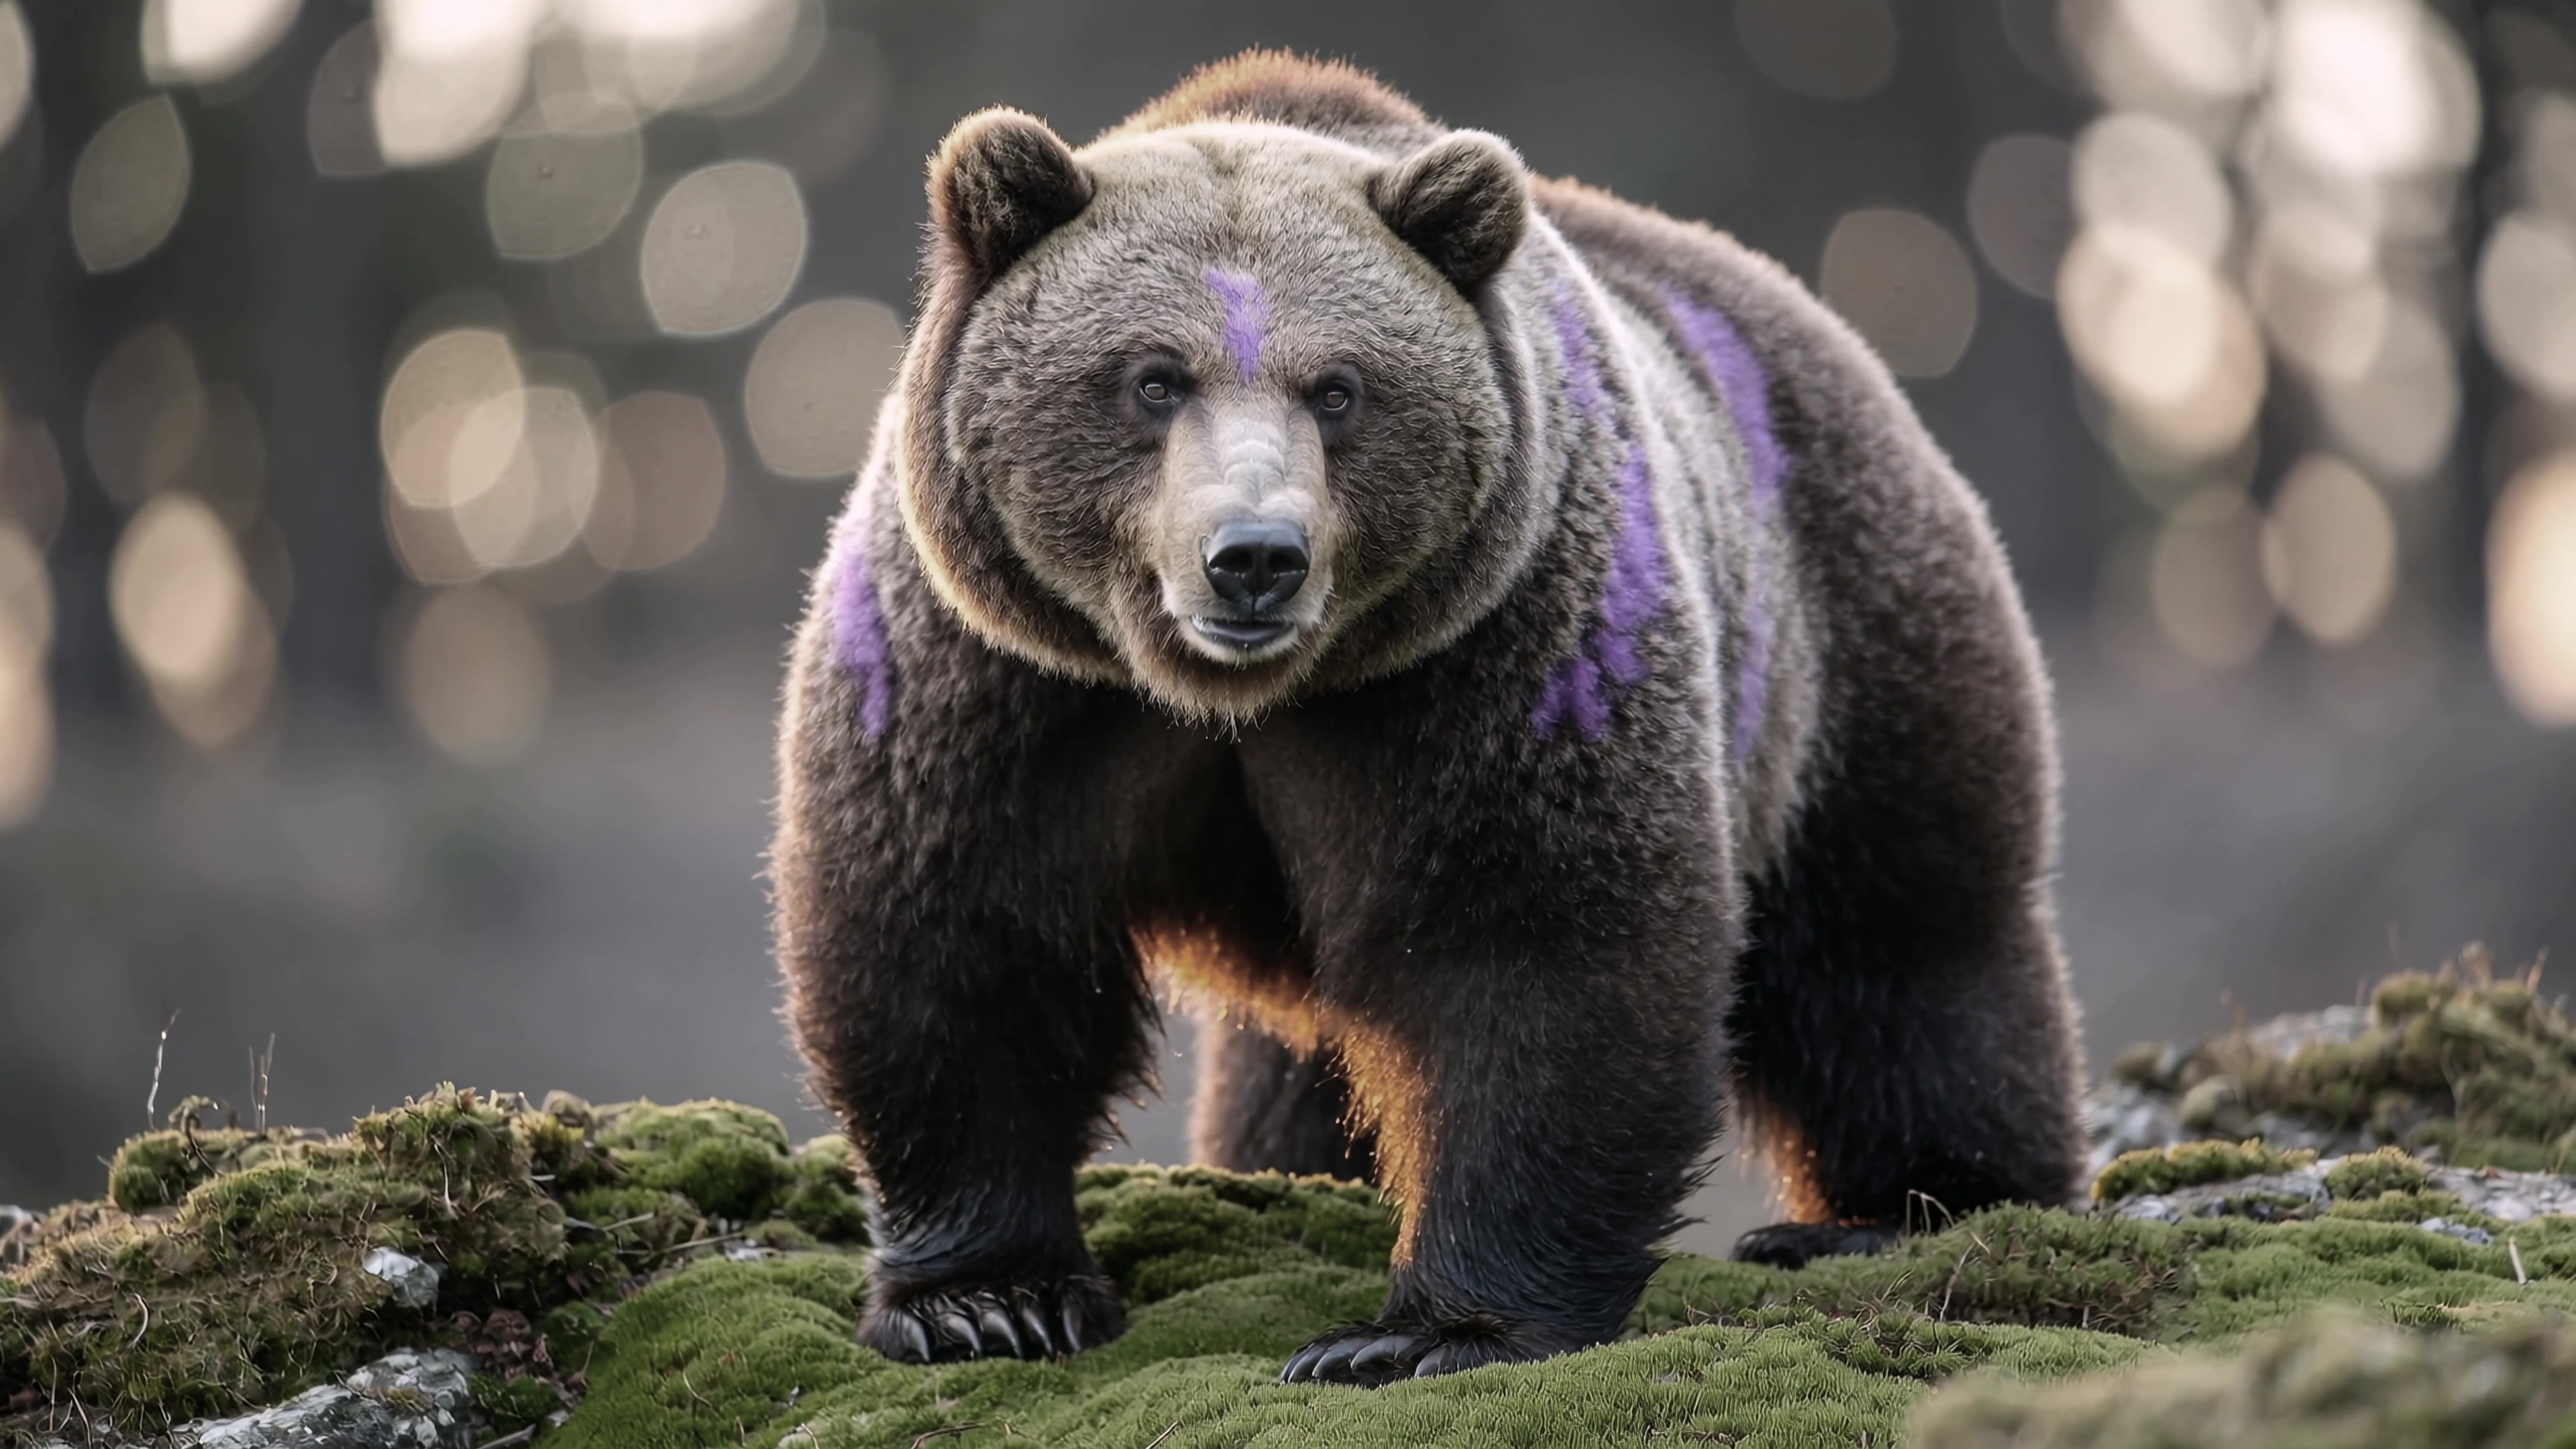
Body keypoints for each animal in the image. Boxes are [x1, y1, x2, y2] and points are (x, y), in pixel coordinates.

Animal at [771, 51, 2087, 1386]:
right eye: (1152, 378)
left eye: (1339, 389)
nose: (1255, 558)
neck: (1237, 698)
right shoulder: (1003, 680)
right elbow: (961, 935)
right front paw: (988, 1302)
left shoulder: (1498, 664)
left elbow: (1537, 948)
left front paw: (1419, 1334)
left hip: (1841, 641)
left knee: (1905, 944)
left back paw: (1901, 1211)